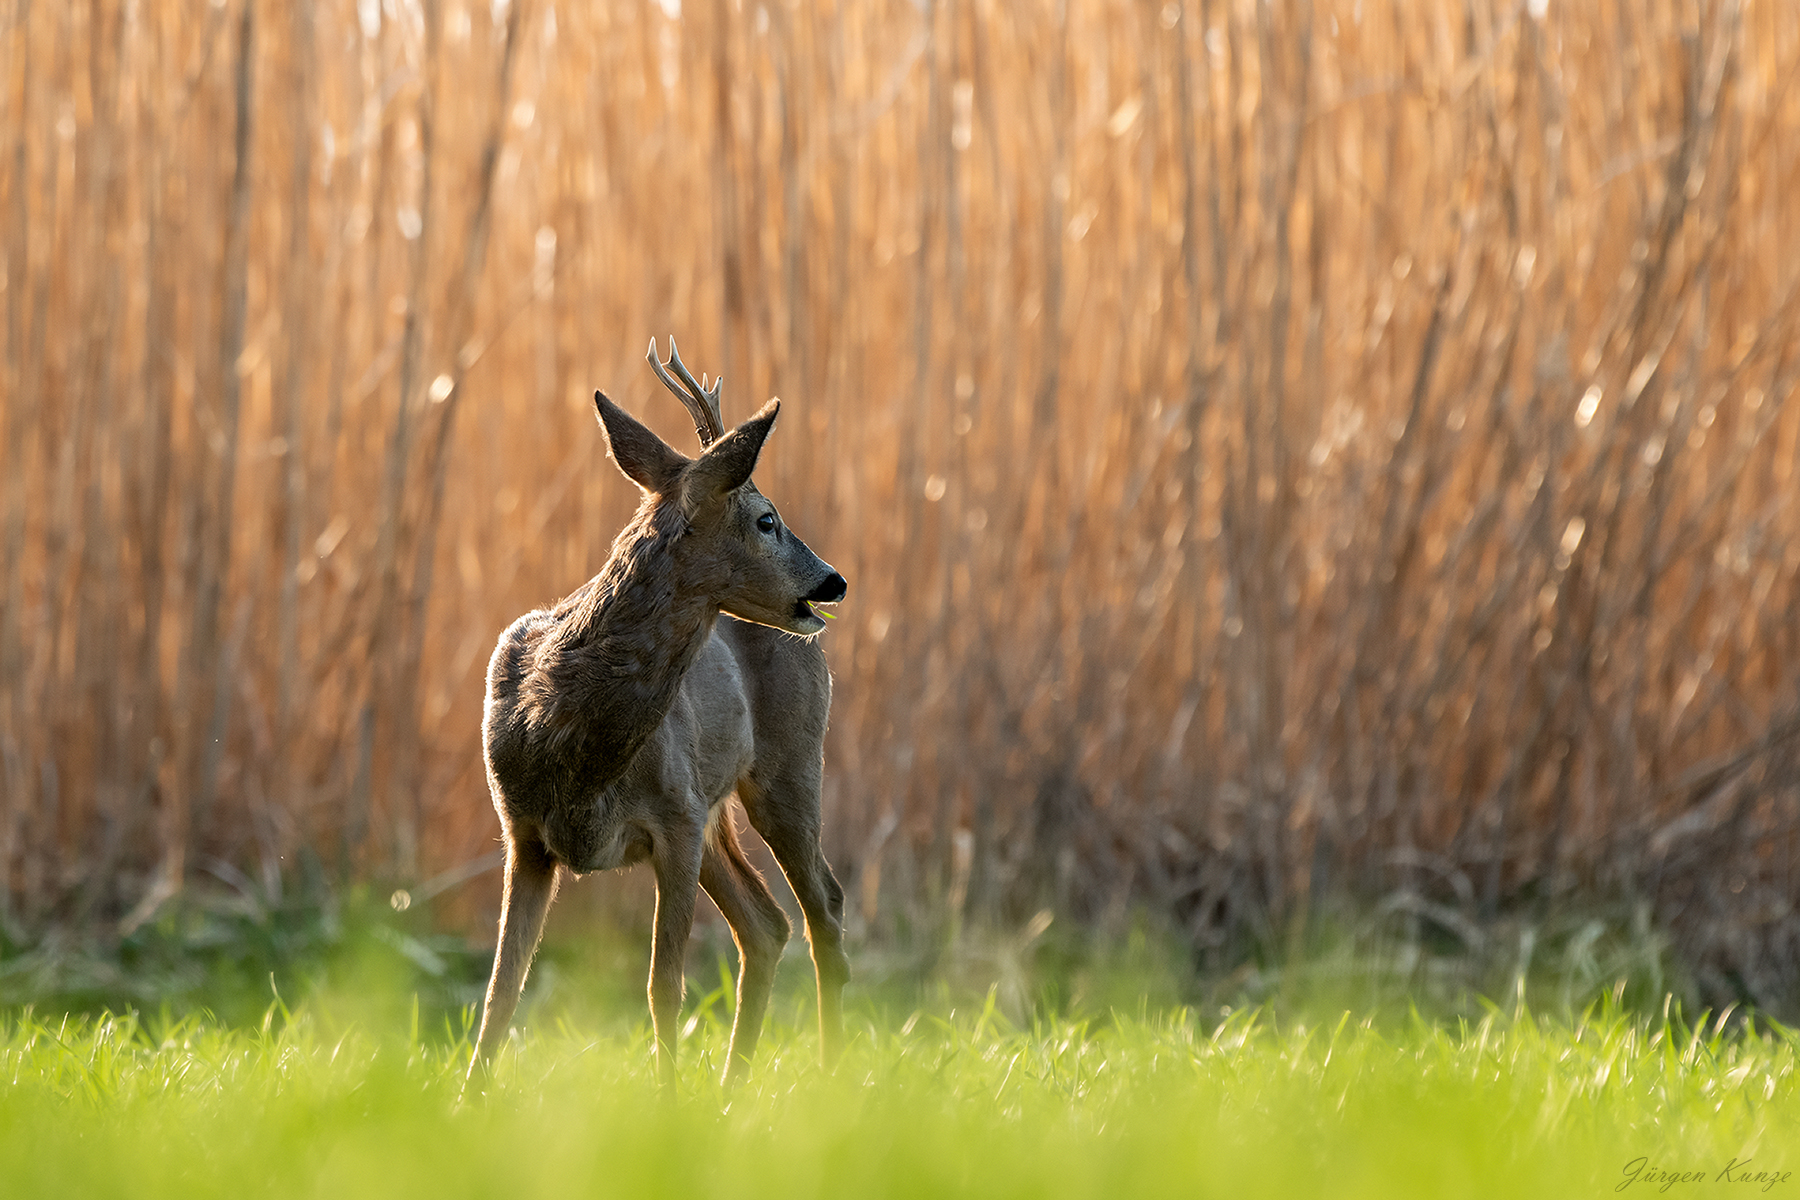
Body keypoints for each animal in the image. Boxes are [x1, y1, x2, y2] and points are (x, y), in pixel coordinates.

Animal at [471, 338, 849, 1086]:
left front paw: (667, 1101)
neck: (570, 735)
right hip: (716, 808)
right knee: (768, 924)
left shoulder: (673, 821)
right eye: (766, 518)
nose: (833, 581)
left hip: (785, 769)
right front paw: (466, 1098)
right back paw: (732, 1087)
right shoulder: (523, 833)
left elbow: (662, 986)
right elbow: (502, 990)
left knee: (823, 907)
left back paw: (825, 1078)